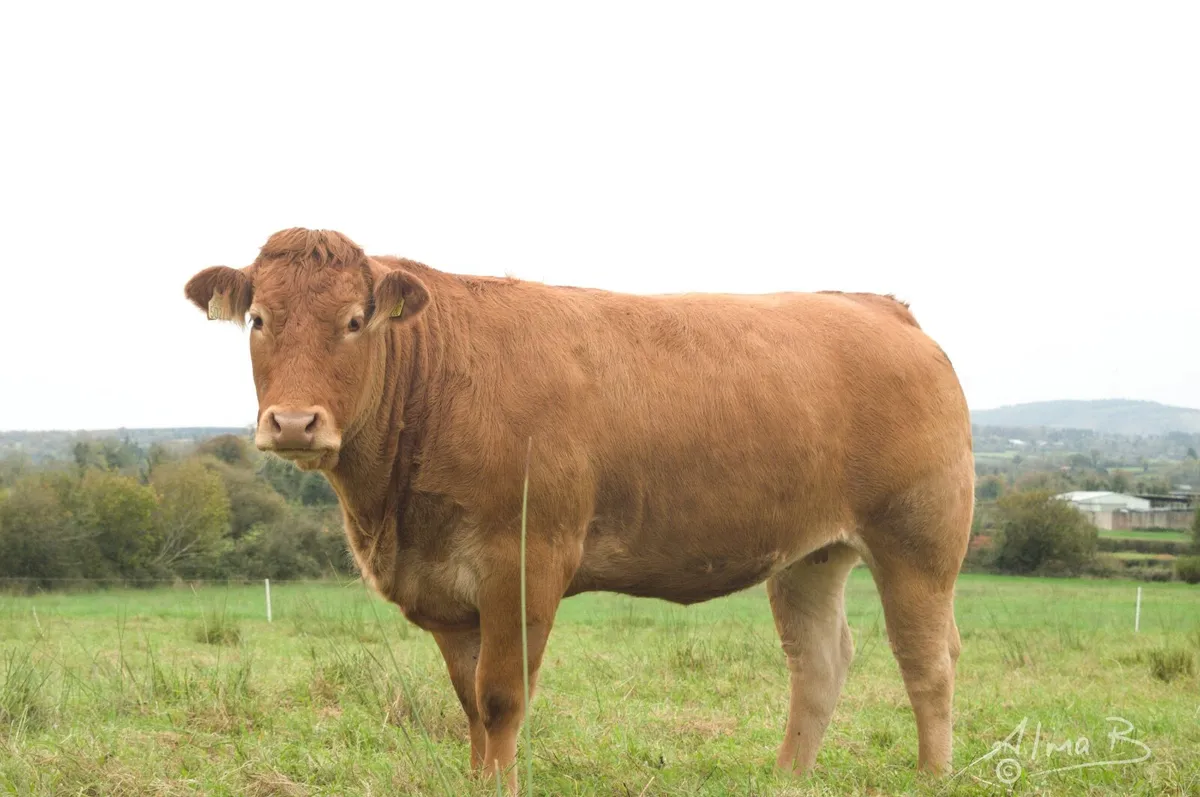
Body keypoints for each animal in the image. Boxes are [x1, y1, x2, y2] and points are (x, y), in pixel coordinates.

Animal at [184, 228, 973, 792]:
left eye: (354, 321)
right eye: (259, 319)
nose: (293, 422)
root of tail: (879, 306)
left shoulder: (523, 562)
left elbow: (500, 696)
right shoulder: (449, 587)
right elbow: (468, 701)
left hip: (919, 539)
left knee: (927, 659)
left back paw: (930, 775)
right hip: (810, 553)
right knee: (818, 659)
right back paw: (787, 778)